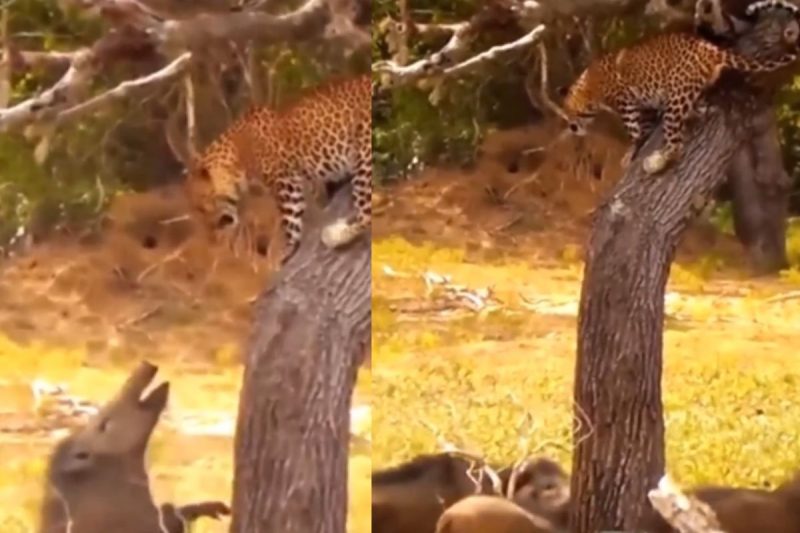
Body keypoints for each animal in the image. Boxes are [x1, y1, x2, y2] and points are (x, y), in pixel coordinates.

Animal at [184, 74, 371, 264]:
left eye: (200, 206)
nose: (209, 232)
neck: (237, 156)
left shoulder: (286, 183)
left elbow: (290, 220)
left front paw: (282, 252)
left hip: (364, 155)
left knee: (366, 215)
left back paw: (335, 235)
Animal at [562, 29, 798, 176]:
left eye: (569, 115)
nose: (572, 128)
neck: (588, 87)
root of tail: (708, 47)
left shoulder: (625, 101)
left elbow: (633, 129)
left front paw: (631, 151)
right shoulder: (643, 104)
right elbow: (645, 125)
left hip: (677, 93)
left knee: (676, 146)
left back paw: (656, 163)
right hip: (688, 91)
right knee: (696, 111)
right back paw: (697, 112)